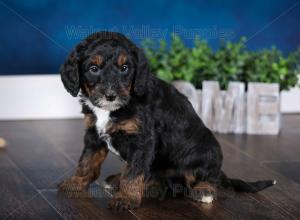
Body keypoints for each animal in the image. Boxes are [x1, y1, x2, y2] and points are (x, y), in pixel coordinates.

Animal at [58, 31, 276, 211]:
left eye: (125, 68)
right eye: (93, 68)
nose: (110, 96)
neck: (113, 109)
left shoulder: (142, 140)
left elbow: (134, 172)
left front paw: (126, 199)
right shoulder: (93, 133)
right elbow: (87, 161)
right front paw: (75, 182)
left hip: (206, 150)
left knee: (206, 177)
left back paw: (204, 190)